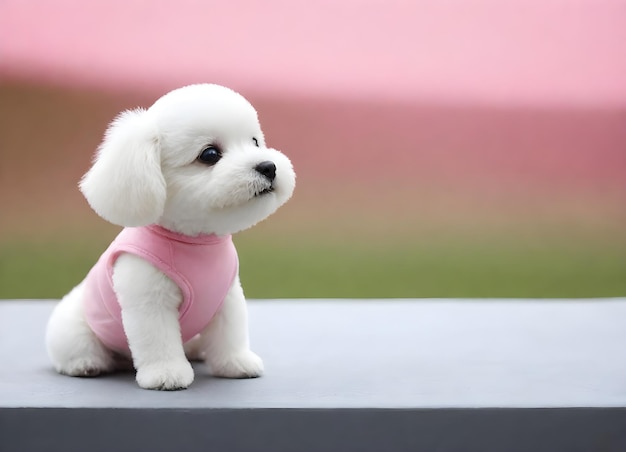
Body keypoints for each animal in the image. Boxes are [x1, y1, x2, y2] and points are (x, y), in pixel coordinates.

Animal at [46, 84, 294, 388]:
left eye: (255, 142)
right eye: (210, 154)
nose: (268, 167)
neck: (196, 239)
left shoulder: (227, 297)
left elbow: (230, 333)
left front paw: (236, 363)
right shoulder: (150, 302)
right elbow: (158, 340)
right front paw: (166, 374)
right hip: (74, 329)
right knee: (77, 348)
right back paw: (85, 364)